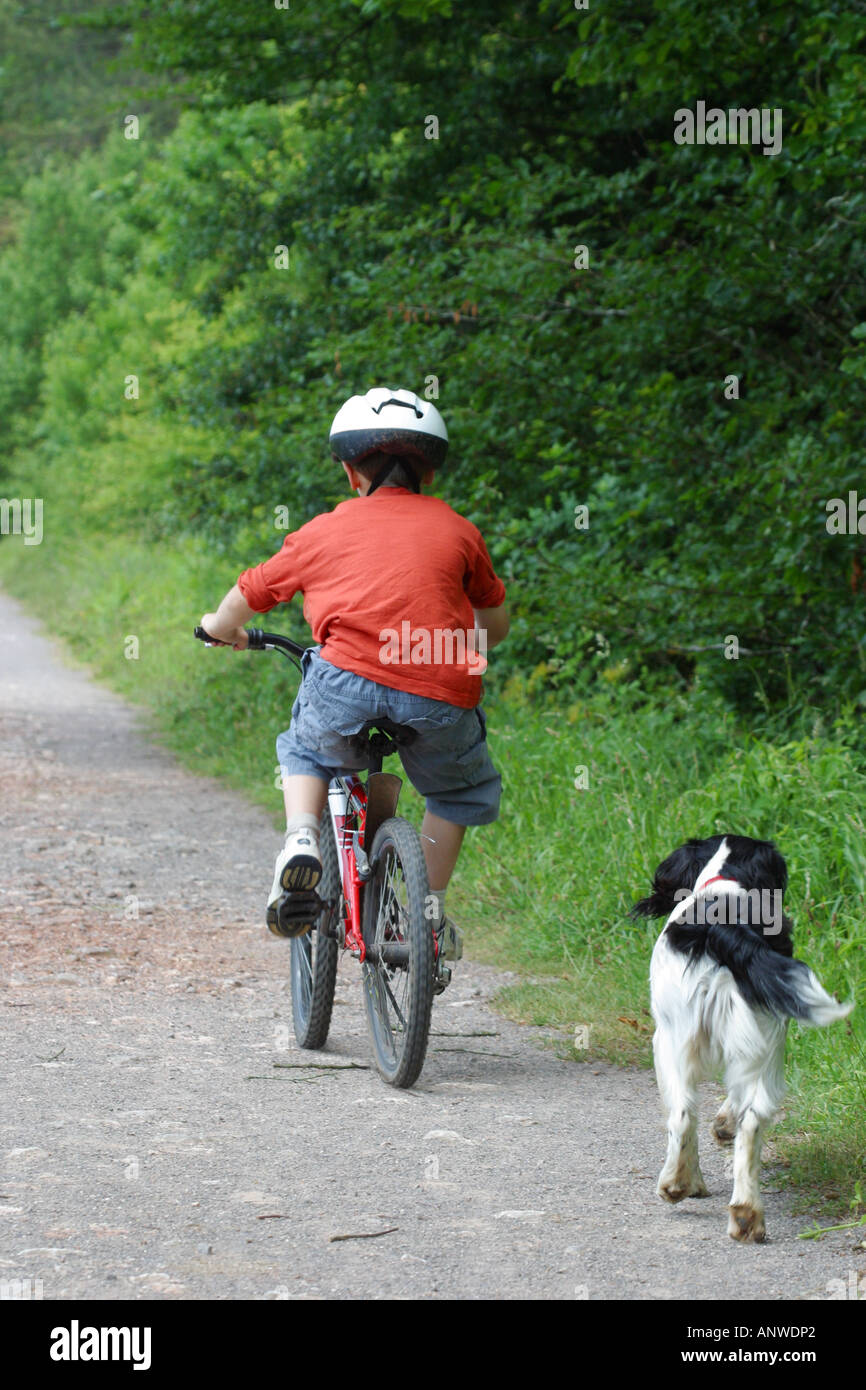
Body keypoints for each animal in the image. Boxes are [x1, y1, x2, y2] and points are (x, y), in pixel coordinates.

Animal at [631, 828, 856, 1245]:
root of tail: (720, 927)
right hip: (767, 1042)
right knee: (751, 1119)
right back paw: (747, 1213)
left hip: (674, 1041)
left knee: (684, 1113)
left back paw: (677, 1184)